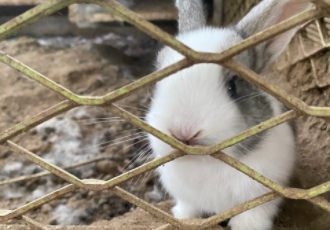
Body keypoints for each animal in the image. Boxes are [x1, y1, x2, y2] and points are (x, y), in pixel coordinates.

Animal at [145, 0, 312, 230]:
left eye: (232, 86)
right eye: (157, 82)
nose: (183, 131)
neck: (207, 163)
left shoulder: (261, 198)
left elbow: (252, 216)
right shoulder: (186, 198)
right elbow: (188, 210)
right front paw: (181, 217)